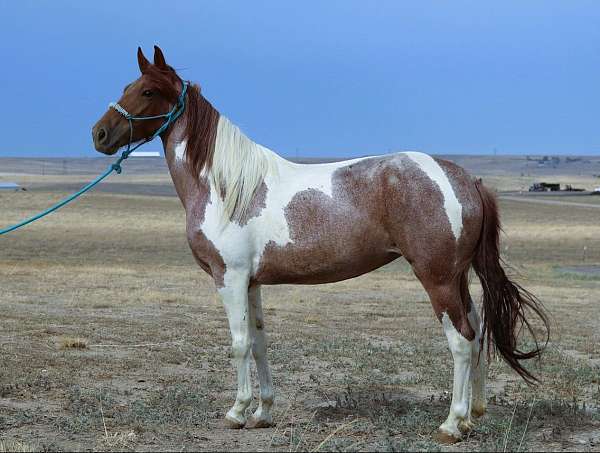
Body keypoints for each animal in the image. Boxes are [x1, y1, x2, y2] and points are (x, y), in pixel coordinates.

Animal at [92, 46, 548, 442]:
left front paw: (237, 412)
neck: (224, 186)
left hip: (436, 280)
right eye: (128, 85)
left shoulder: (229, 278)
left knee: (461, 341)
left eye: (147, 91)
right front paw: (263, 413)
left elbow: (239, 344)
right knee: (478, 332)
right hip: (457, 278)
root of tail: (465, 179)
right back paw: (473, 416)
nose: (99, 133)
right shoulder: (252, 282)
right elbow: (259, 343)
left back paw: (452, 424)